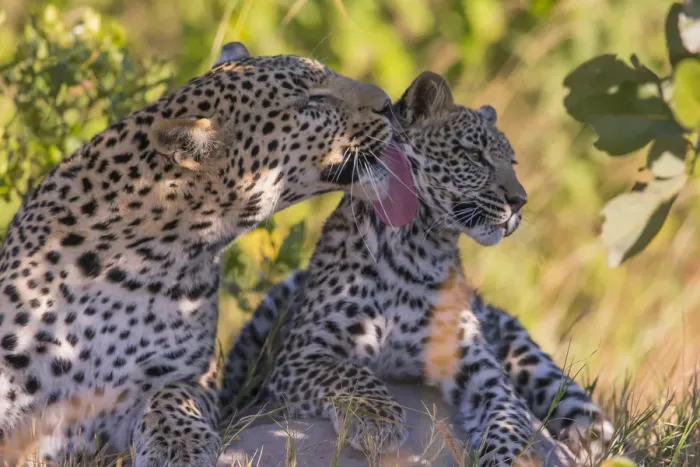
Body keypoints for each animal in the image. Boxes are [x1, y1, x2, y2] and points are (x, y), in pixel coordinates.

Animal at [220, 71, 614, 466]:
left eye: (512, 164)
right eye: (475, 156)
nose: (520, 201)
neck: (414, 250)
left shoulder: (480, 367)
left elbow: (508, 416)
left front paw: (510, 457)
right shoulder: (302, 353)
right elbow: (349, 374)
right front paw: (378, 423)